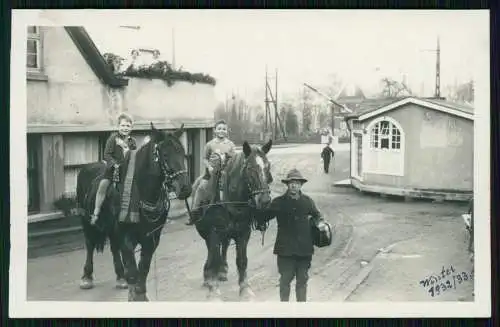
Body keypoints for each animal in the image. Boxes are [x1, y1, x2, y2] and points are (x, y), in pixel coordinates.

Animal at [52, 123, 189, 302]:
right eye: (165, 155)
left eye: (183, 153)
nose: (185, 188)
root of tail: (88, 167)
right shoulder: (126, 236)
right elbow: (133, 270)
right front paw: (135, 296)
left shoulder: (152, 238)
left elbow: (143, 267)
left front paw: (140, 293)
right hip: (86, 221)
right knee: (90, 245)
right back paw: (87, 276)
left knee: (113, 248)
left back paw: (120, 276)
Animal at [194, 140, 274, 302]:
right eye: (249, 168)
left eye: (267, 166)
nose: (264, 200)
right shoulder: (214, 233)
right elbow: (213, 259)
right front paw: (213, 291)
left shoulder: (243, 232)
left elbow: (242, 260)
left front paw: (245, 289)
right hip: (207, 234)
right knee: (212, 252)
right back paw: (209, 277)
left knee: (223, 247)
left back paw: (222, 270)